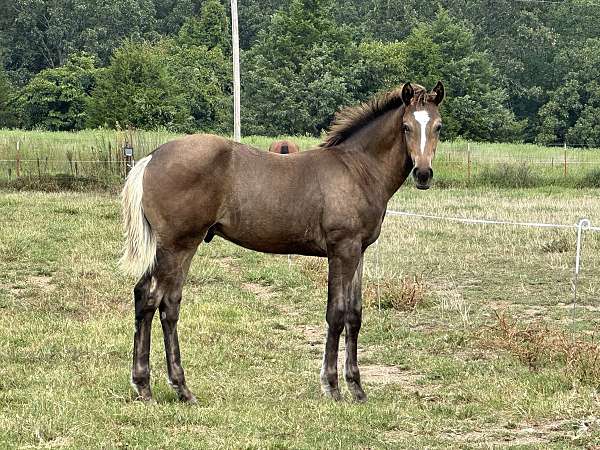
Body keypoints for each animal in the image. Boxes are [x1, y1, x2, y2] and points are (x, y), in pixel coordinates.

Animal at [119, 81, 442, 404]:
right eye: (406, 127)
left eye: (438, 126)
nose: (423, 174)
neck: (357, 169)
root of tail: (151, 158)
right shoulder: (342, 250)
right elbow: (336, 313)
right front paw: (332, 386)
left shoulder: (358, 252)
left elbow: (355, 314)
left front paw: (357, 388)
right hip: (179, 245)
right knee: (157, 300)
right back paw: (163, 387)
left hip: (173, 248)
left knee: (153, 297)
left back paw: (154, 385)